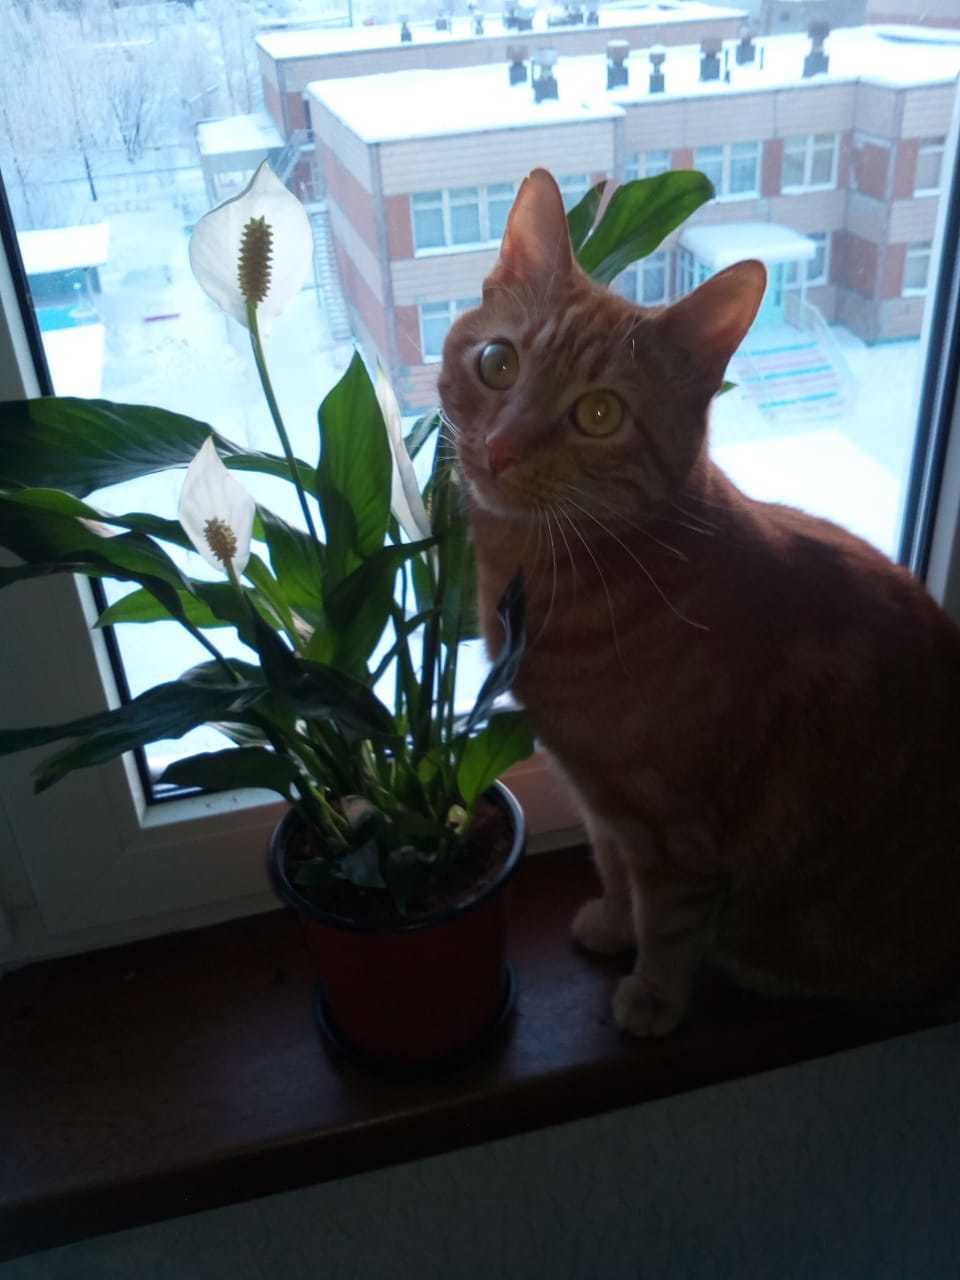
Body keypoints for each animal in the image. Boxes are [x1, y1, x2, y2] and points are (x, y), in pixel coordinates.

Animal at [437, 167, 960, 1038]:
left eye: (600, 414)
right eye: (498, 363)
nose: (500, 448)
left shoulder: (672, 825)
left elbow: (667, 919)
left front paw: (652, 996)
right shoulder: (600, 798)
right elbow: (614, 872)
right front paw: (611, 925)